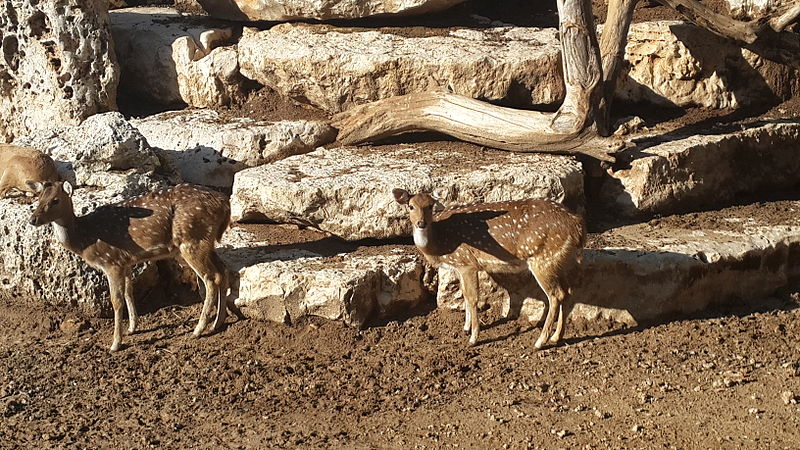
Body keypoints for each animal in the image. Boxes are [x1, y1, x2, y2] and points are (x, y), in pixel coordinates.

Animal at [28, 180, 245, 352]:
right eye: (38, 198)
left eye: (55, 200)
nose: (33, 219)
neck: (86, 239)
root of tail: (225, 204)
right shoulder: (126, 262)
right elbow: (128, 292)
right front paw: (132, 327)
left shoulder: (111, 262)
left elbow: (116, 300)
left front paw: (115, 343)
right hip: (203, 243)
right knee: (223, 271)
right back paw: (218, 322)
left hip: (191, 240)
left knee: (210, 278)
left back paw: (198, 330)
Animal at [396, 189, 588, 348]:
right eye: (411, 206)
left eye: (430, 206)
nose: (421, 223)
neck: (440, 244)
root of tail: (578, 226)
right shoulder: (459, 266)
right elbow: (464, 294)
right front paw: (465, 328)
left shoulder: (467, 263)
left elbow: (473, 298)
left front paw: (473, 338)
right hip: (560, 261)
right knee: (567, 292)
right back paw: (556, 337)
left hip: (543, 259)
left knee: (555, 295)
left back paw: (540, 342)